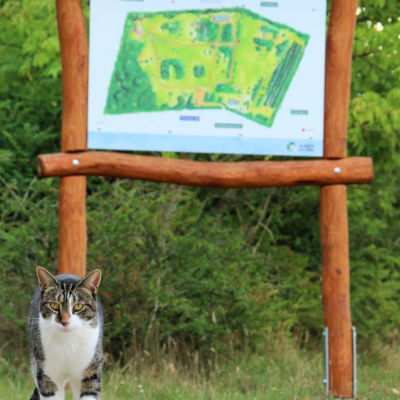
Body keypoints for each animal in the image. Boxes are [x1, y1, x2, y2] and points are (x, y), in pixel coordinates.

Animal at [28, 266, 103, 400]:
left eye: (78, 306)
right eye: (53, 305)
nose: (65, 321)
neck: (68, 342)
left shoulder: (91, 370)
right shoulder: (47, 374)